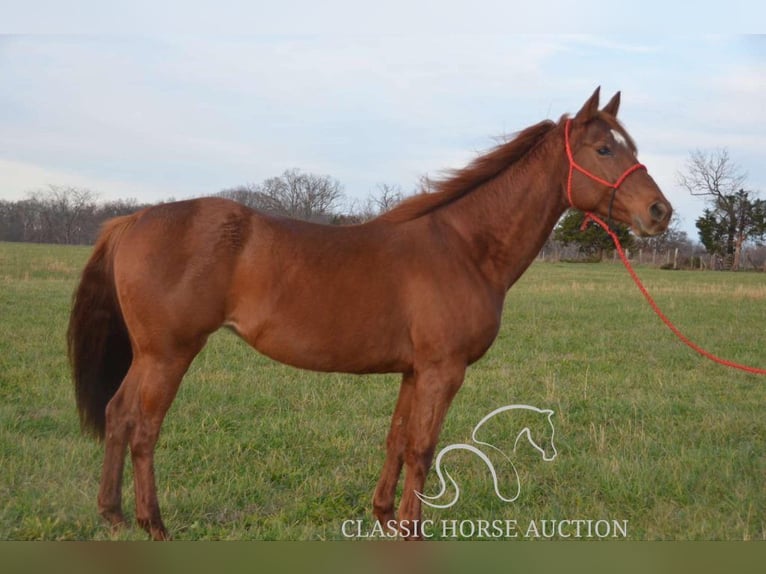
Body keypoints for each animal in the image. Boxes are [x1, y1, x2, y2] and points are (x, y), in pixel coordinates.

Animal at [70, 89, 672, 540]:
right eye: (603, 149)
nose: (660, 211)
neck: (464, 246)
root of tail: (133, 219)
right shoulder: (443, 371)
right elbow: (423, 449)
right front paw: (413, 531)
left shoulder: (413, 371)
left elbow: (397, 441)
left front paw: (383, 517)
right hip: (168, 354)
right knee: (144, 427)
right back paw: (153, 524)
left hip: (149, 355)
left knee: (118, 414)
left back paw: (112, 515)